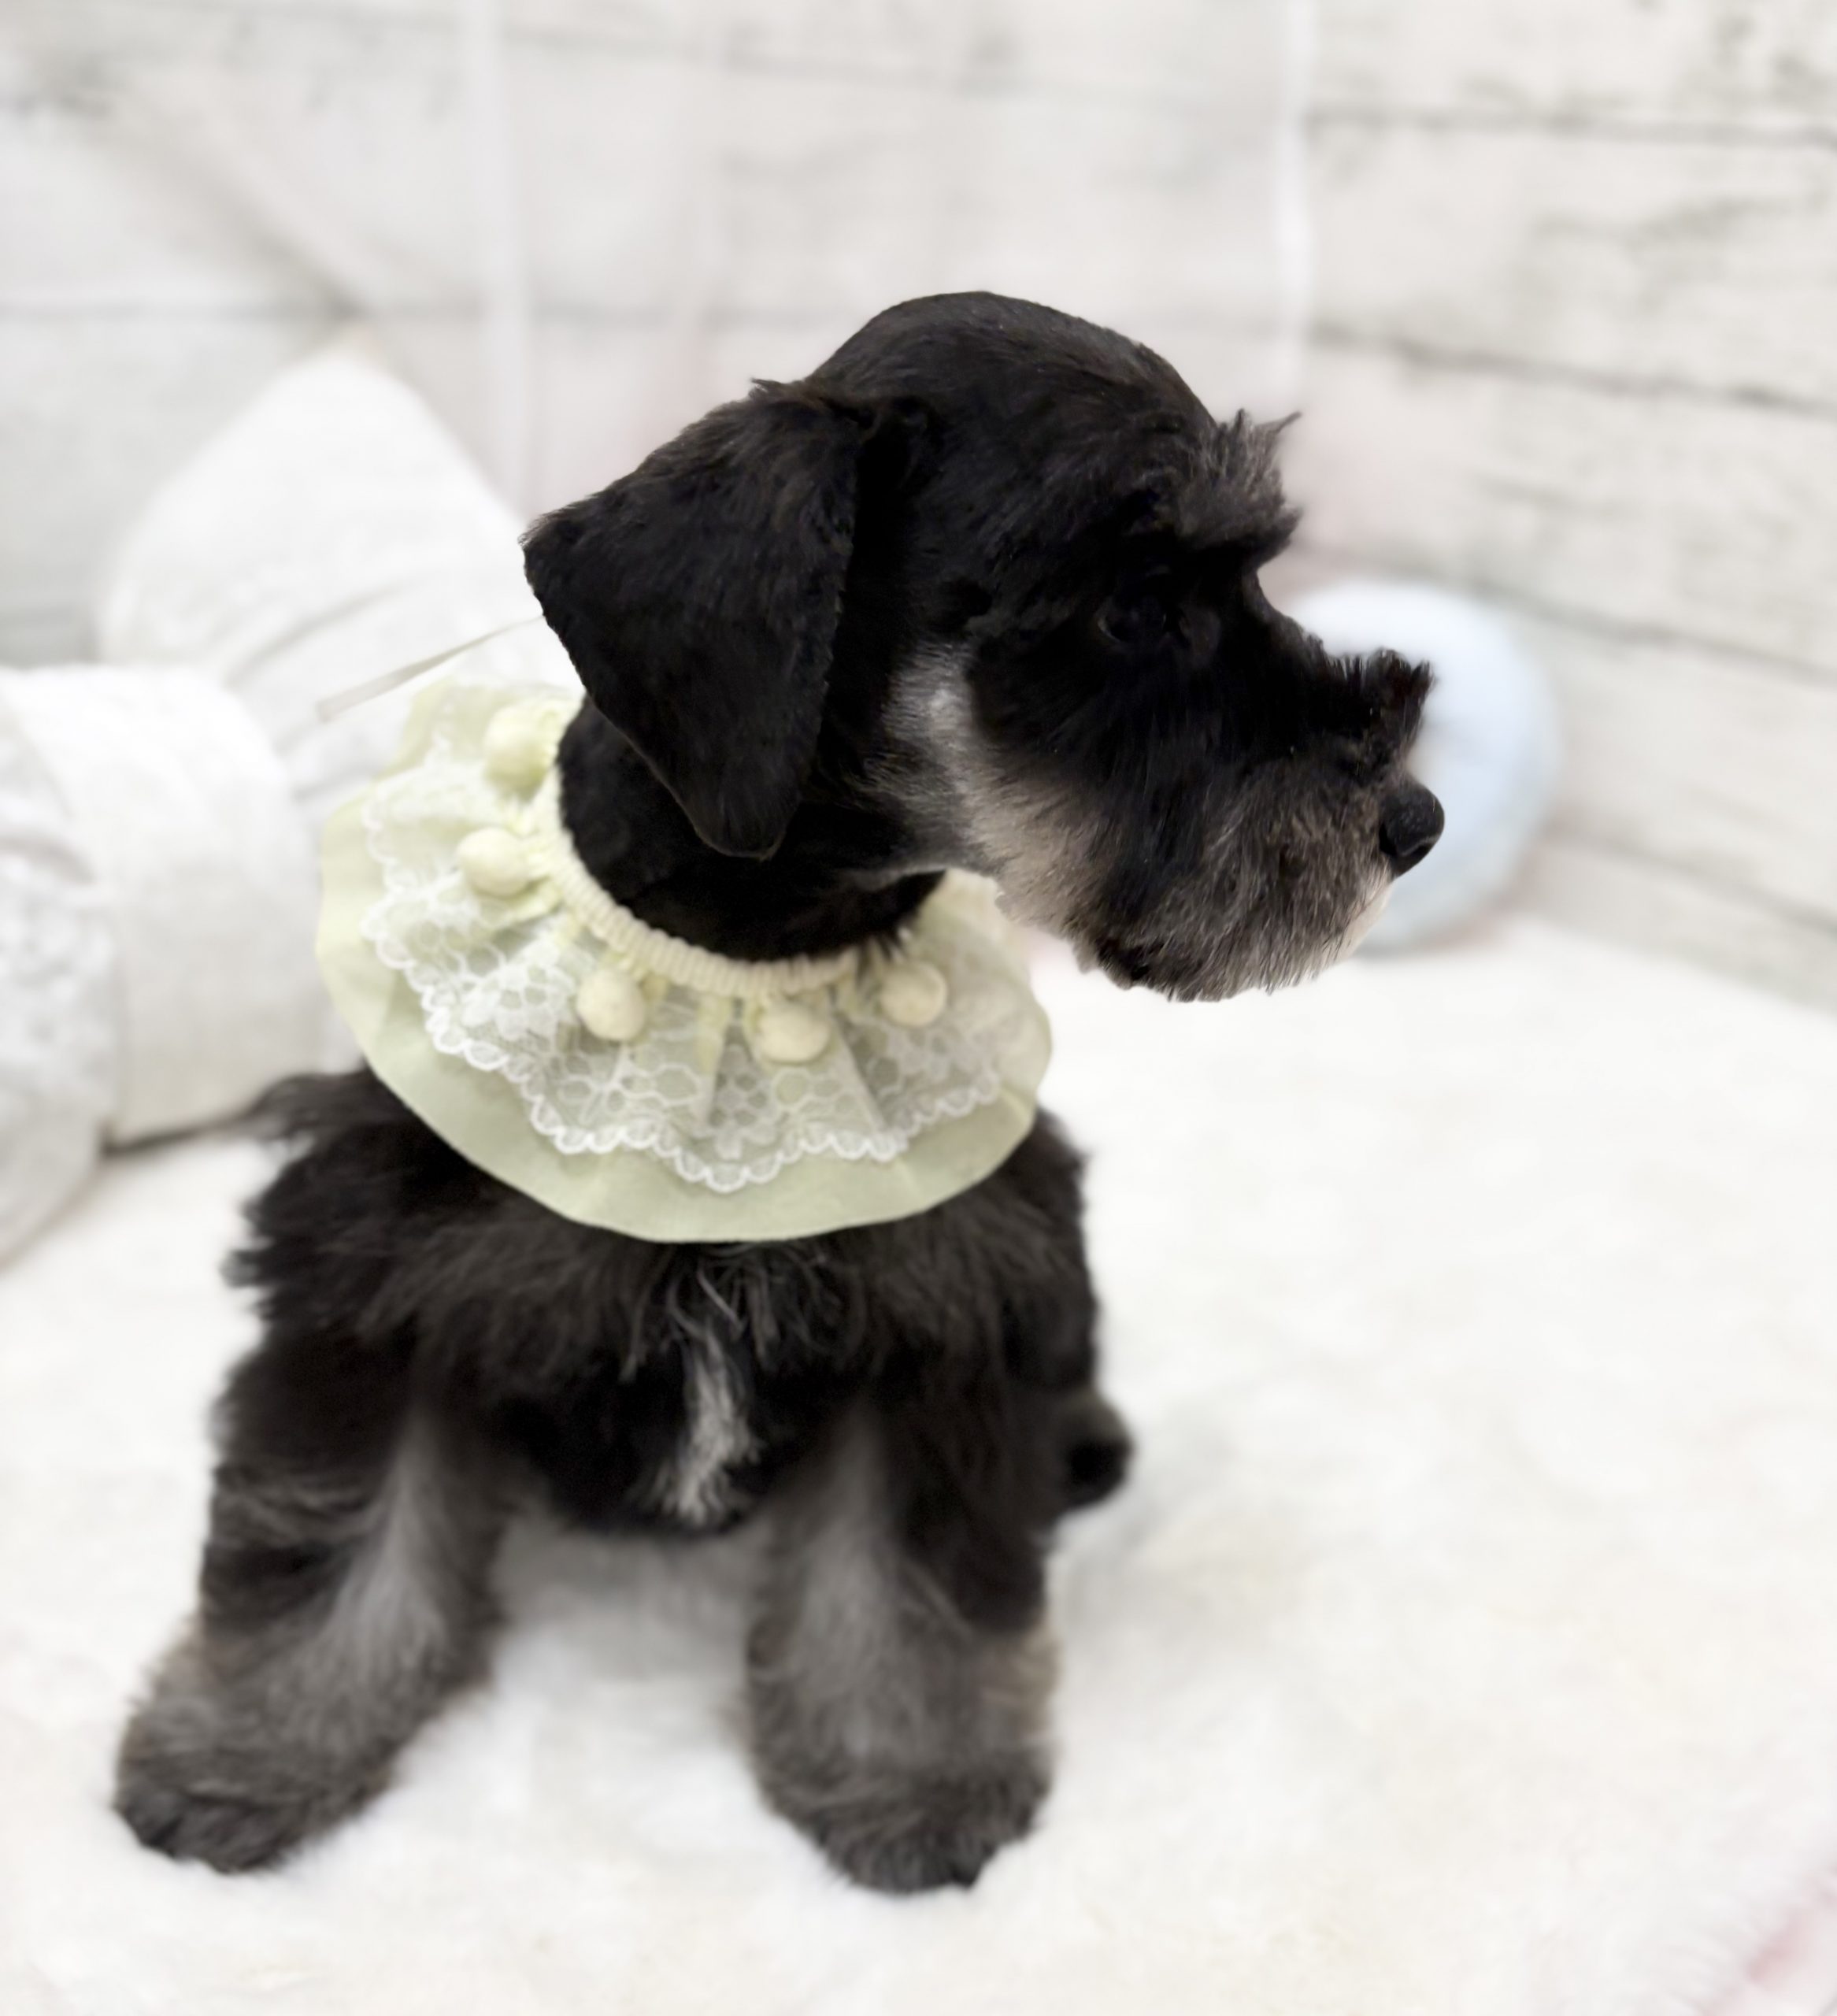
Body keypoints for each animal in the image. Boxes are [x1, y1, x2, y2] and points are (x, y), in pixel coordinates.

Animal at [114, 292, 1440, 1894]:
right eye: (1134, 608)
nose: (1415, 820)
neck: (743, 969)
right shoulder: (372, 1280)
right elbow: (334, 1536)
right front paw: (246, 1755)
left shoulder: (941, 1306)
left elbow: (898, 1579)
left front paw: (906, 1777)